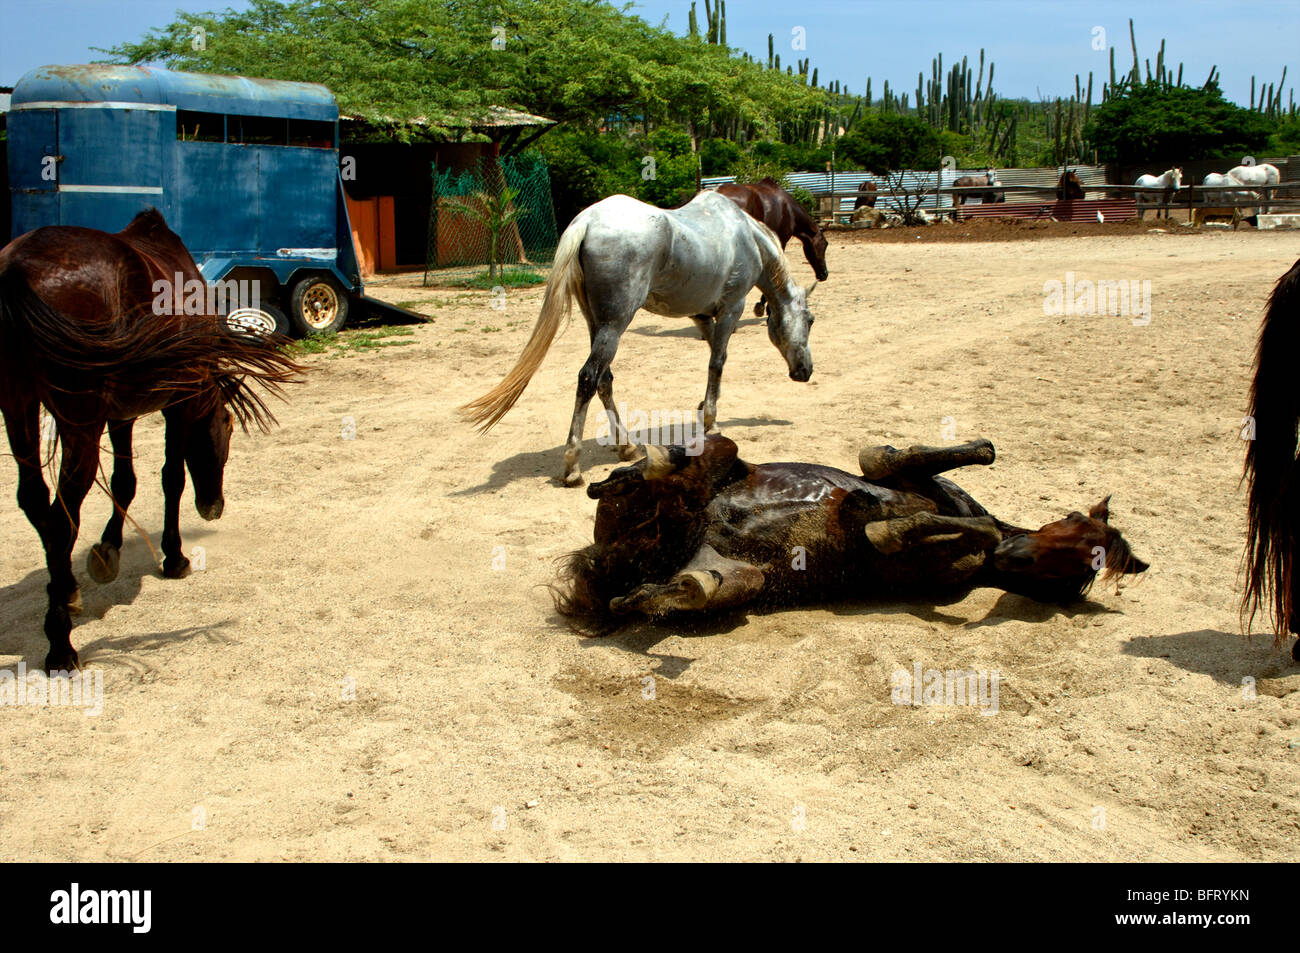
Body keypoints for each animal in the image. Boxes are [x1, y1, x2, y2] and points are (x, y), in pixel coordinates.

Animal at [0, 208, 302, 672]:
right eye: (228, 427)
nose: (214, 507)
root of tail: (15, 269)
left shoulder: (120, 414)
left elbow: (125, 482)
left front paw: (107, 552)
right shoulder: (179, 402)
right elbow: (170, 477)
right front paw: (174, 557)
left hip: (18, 406)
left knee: (36, 502)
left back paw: (66, 592)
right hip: (77, 423)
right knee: (61, 513)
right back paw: (61, 642)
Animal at [459, 191, 817, 487]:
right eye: (810, 320)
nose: (805, 371)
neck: (745, 234)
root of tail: (587, 221)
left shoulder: (701, 315)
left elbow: (711, 353)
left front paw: (704, 406)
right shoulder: (731, 308)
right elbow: (718, 361)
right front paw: (711, 421)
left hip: (598, 324)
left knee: (604, 380)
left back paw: (627, 446)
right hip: (615, 324)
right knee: (588, 378)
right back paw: (573, 466)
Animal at [554, 433, 1148, 627]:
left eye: (1076, 566)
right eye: (1071, 520)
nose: (1017, 554)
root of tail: (611, 564)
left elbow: (903, 531)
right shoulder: (896, 471)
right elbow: (907, 458)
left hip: (738, 579)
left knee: (688, 587)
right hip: (709, 462)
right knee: (697, 463)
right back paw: (631, 470)